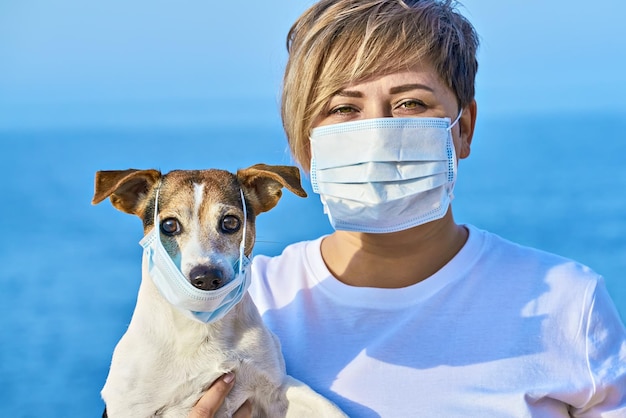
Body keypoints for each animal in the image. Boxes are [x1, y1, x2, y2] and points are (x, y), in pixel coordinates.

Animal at [92, 165, 346, 418]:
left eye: (230, 222)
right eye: (169, 225)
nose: (206, 276)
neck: (202, 326)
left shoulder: (275, 387)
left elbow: (329, 408)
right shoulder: (132, 407)